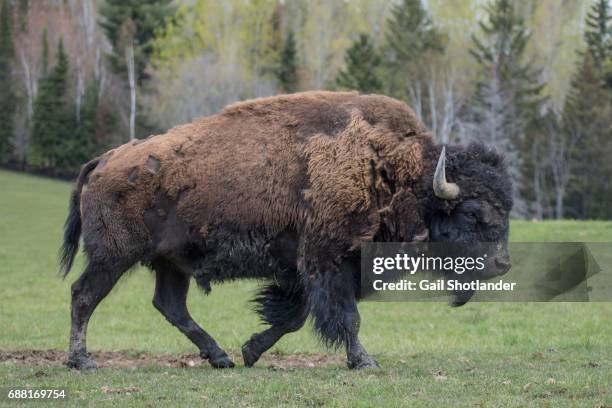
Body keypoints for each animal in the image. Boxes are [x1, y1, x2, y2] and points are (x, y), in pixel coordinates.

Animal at [61, 91, 512, 372]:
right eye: (472, 213)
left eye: (507, 208)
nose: (503, 265)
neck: (393, 171)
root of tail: (105, 159)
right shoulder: (327, 261)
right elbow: (346, 318)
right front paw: (364, 361)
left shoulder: (306, 270)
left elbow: (295, 317)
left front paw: (250, 351)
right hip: (113, 257)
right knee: (84, 296)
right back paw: (83, 361)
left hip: (171, 262)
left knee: (170, 305)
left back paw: (220, 356)